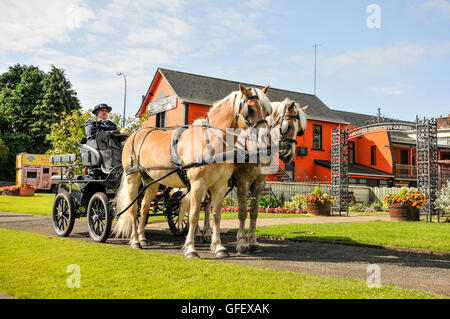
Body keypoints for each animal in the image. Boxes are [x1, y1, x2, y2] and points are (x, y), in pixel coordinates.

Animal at [114, 84, 272, 258]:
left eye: (267, 110)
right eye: (250, 109)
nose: (266, 141)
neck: (211, 142)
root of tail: (134, 134)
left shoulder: (221, 185)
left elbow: (216, 215)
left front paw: (219, 247)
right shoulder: (198, 184)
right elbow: (194, 215)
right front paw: (190, 248)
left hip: (151, 181)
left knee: (144, 208)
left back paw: (142, 238)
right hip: (133, 177)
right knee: (133, 209)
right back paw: (135, 241)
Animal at [192, 99, 308, 254]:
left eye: (300, 131)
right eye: (287, 126)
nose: (289, 155)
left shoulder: (259, 184)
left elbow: (253, 212)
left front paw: (253, 242)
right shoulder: (243, 182)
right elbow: (242, 212)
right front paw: (242, 242)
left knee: (206, 204)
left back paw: (207, 232)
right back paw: (198, 233)